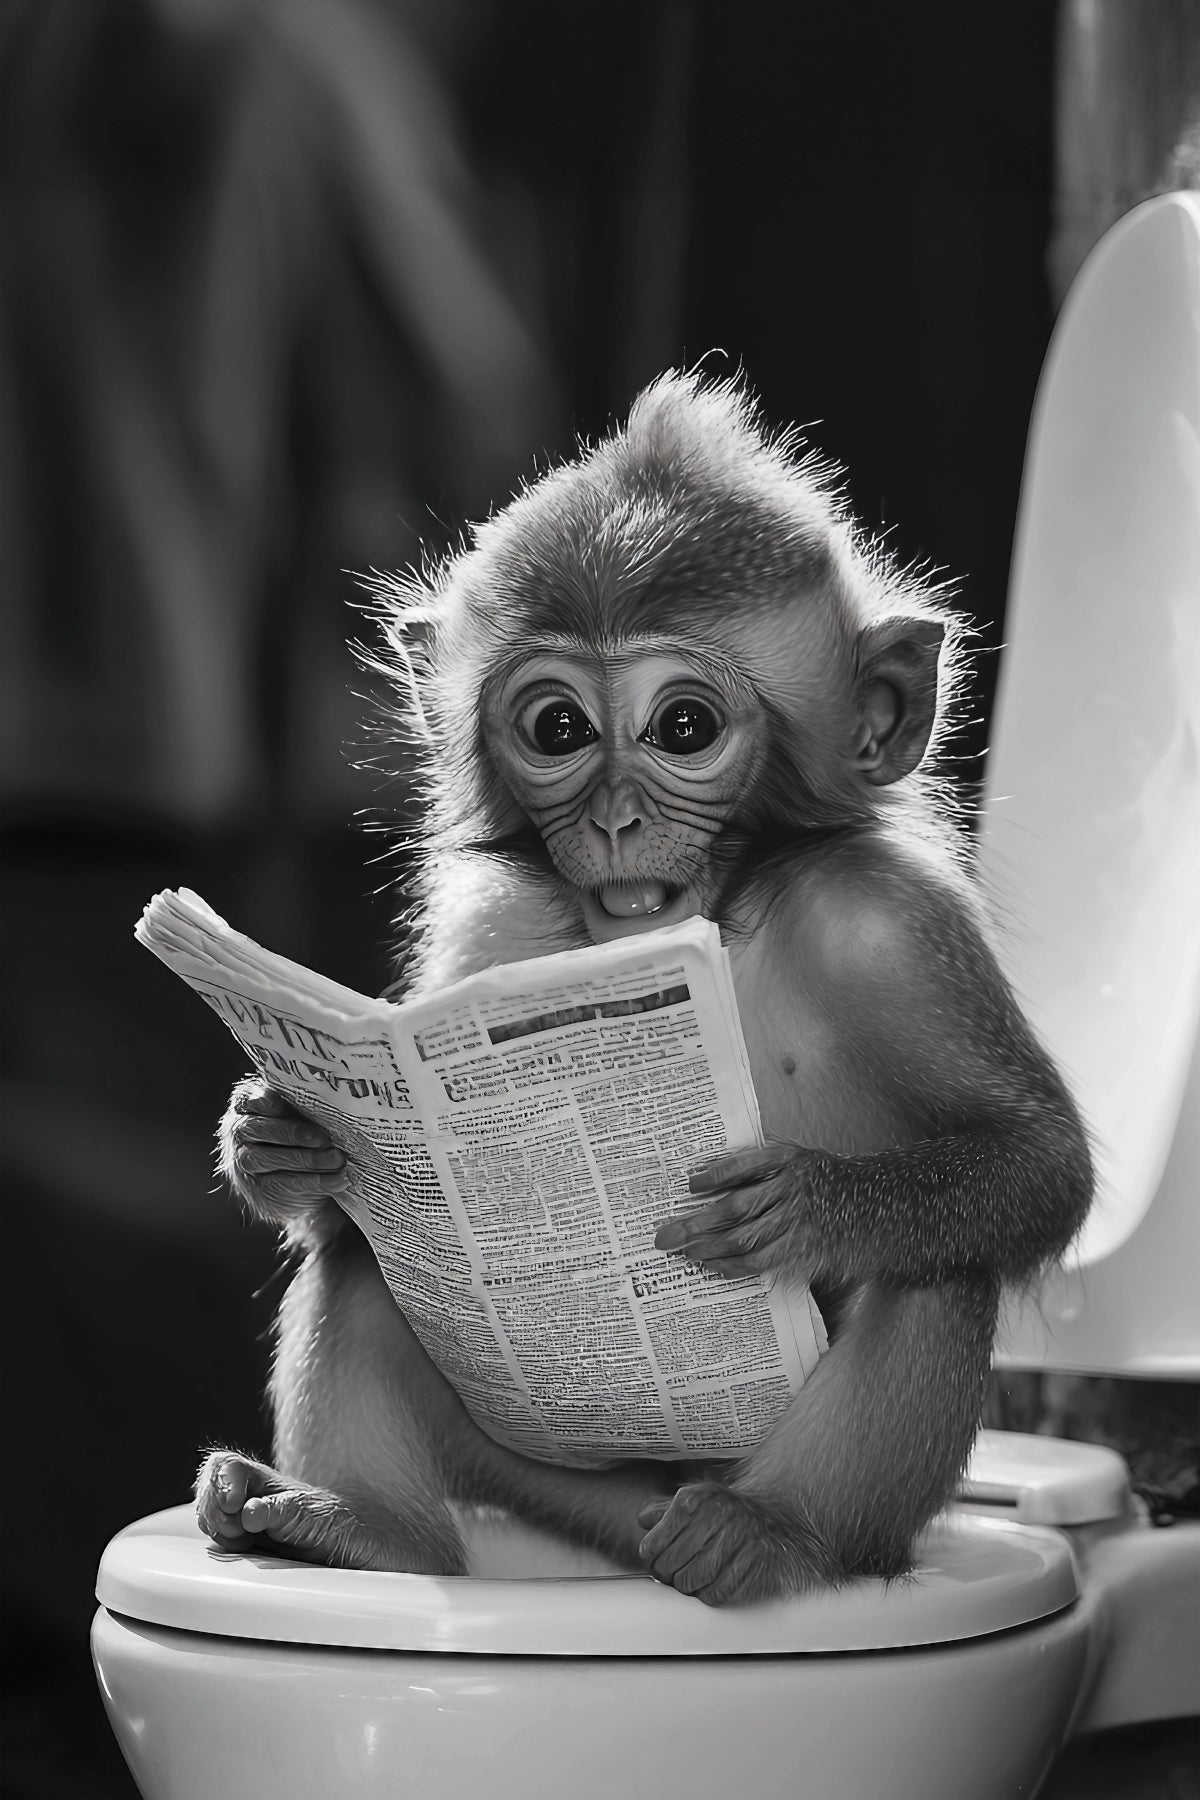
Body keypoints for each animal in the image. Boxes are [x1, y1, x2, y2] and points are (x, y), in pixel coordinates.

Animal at [196, 371, 1093, 1605]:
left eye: (684, 726)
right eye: (559, 727)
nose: (617, 819)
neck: (719, 918)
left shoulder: (893, 926)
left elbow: (1039, 1162)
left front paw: (807, 1204)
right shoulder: (494, 931)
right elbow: (356, 1202)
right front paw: (276, 1137)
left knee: (938, 1269)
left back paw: (770, 1534)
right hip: (554, 1472)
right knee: (371, 1261)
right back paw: (362, 1529)